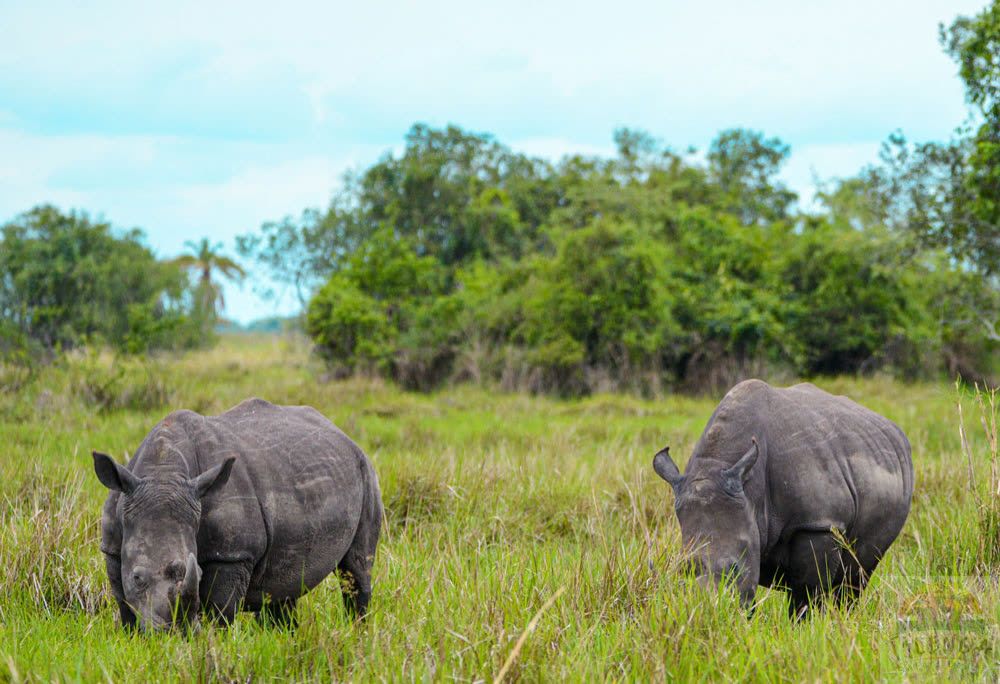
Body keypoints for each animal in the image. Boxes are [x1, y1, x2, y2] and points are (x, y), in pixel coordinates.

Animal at [92, 398, 383, 631]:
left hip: (366, 473)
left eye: (197, 574)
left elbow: (219, 611)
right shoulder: (112, 547)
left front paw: (211, 644)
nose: (170, 633)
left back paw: (357, 633)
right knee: (282, 588)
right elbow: (123, 603)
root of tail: (344, 435)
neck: (163, 473)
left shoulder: (233, 554)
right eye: (137, 577)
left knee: (356, 570)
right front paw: (136, 638)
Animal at [653, 380, 912, 618]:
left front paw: (804, 629)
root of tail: (895, 430)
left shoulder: (818, 522)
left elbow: (807, 593)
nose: (707, 612)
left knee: (856, 575)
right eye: (682, 570)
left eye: (735, 569)